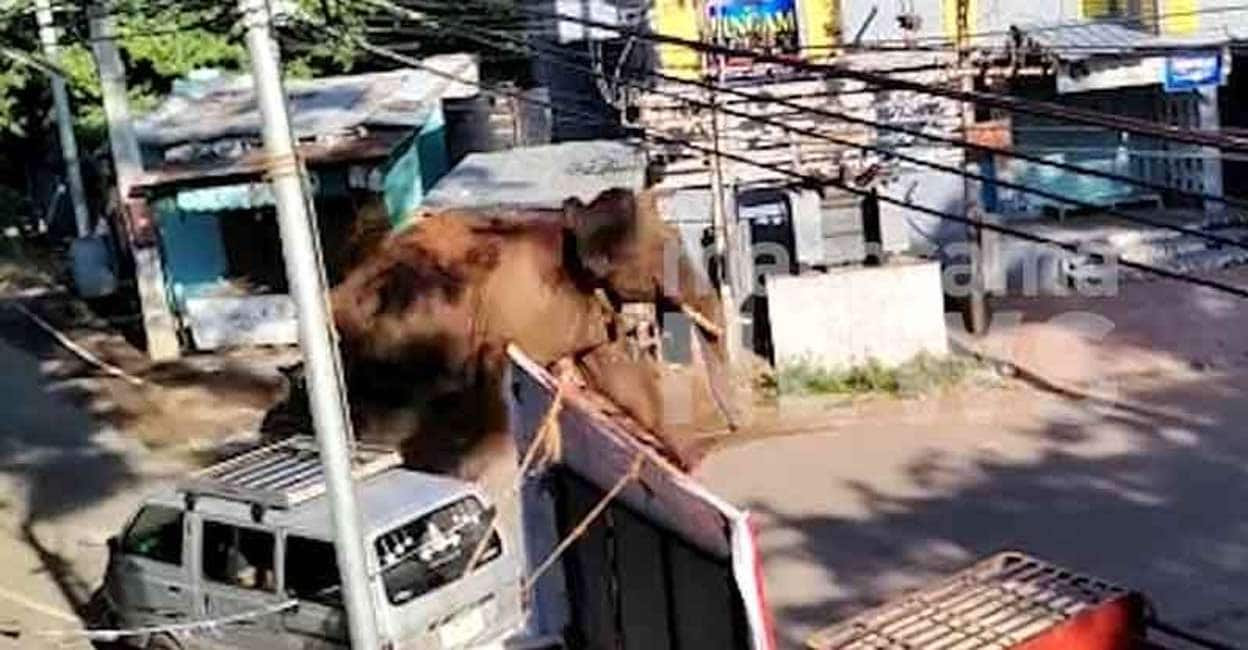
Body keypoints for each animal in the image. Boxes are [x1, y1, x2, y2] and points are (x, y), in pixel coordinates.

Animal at [326, 187, 728, 476]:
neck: (573, 220)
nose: (732, 428)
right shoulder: (521, 310)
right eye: (664, 251)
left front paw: (689, 464)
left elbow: (617, 375)